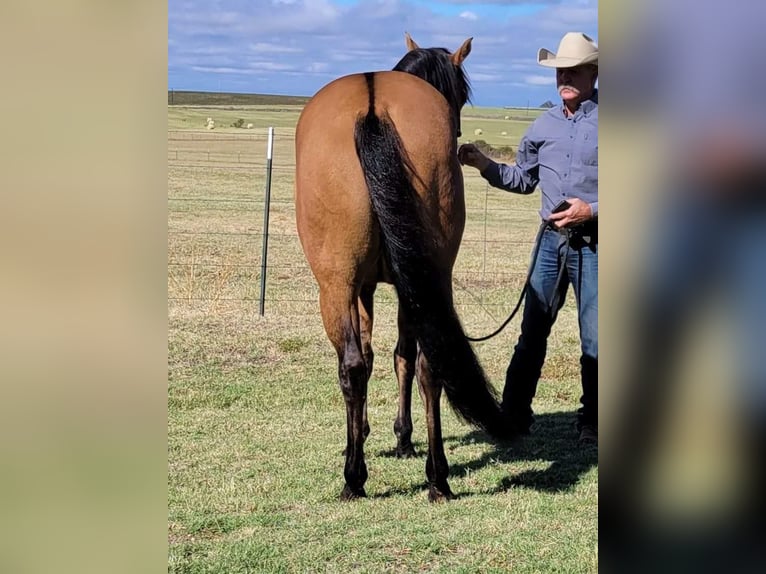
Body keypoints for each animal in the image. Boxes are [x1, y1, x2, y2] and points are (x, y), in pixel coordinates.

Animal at [294, 35, 510, 504]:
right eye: (460, 94)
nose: (462, 136)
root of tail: (372, 106)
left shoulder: (368, 287)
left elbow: (387, 354)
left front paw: (387, 436)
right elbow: (393, 354)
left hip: (337, 285)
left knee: (358, 365)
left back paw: (360, 477)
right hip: (421, 279)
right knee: (424, 364)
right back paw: (436, 479)